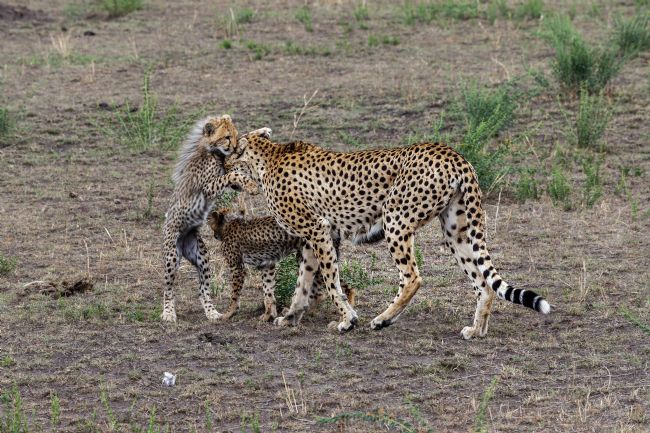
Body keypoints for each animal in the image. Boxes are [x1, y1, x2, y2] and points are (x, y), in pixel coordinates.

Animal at [160, 115, 269, 323]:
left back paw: (212, 312)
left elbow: (235, 171)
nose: (233, 146)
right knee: (168, 287)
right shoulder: (209, 187)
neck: (212, 151)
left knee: (203, 289)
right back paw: (168, 312)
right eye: (226, 137)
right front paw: (252, 185)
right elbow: (233, 175)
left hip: (201, 256)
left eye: (233, 134)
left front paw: (261, 132)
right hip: (171, 256)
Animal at [207, 207, 356, 322]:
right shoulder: (268, 265)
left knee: (324, 291)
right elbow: (268, 291)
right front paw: (269, 315)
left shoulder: (237, 267)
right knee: (342, 286)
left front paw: (228, 313)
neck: (228, 222)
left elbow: (234, 294)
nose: (212, 234)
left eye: (209, 220)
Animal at [233, 133, 551, 338]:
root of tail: (451, 152)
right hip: (456, 231)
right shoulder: (316, 238)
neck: (267, 158)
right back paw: (477, 330)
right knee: (483, 283)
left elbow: (331, 282)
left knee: (412, 277)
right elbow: (304, 281)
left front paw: (347, 320)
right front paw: (290, 317)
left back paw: (383, 319)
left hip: (394, 218)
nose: (224, 161)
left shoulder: (318, 230)